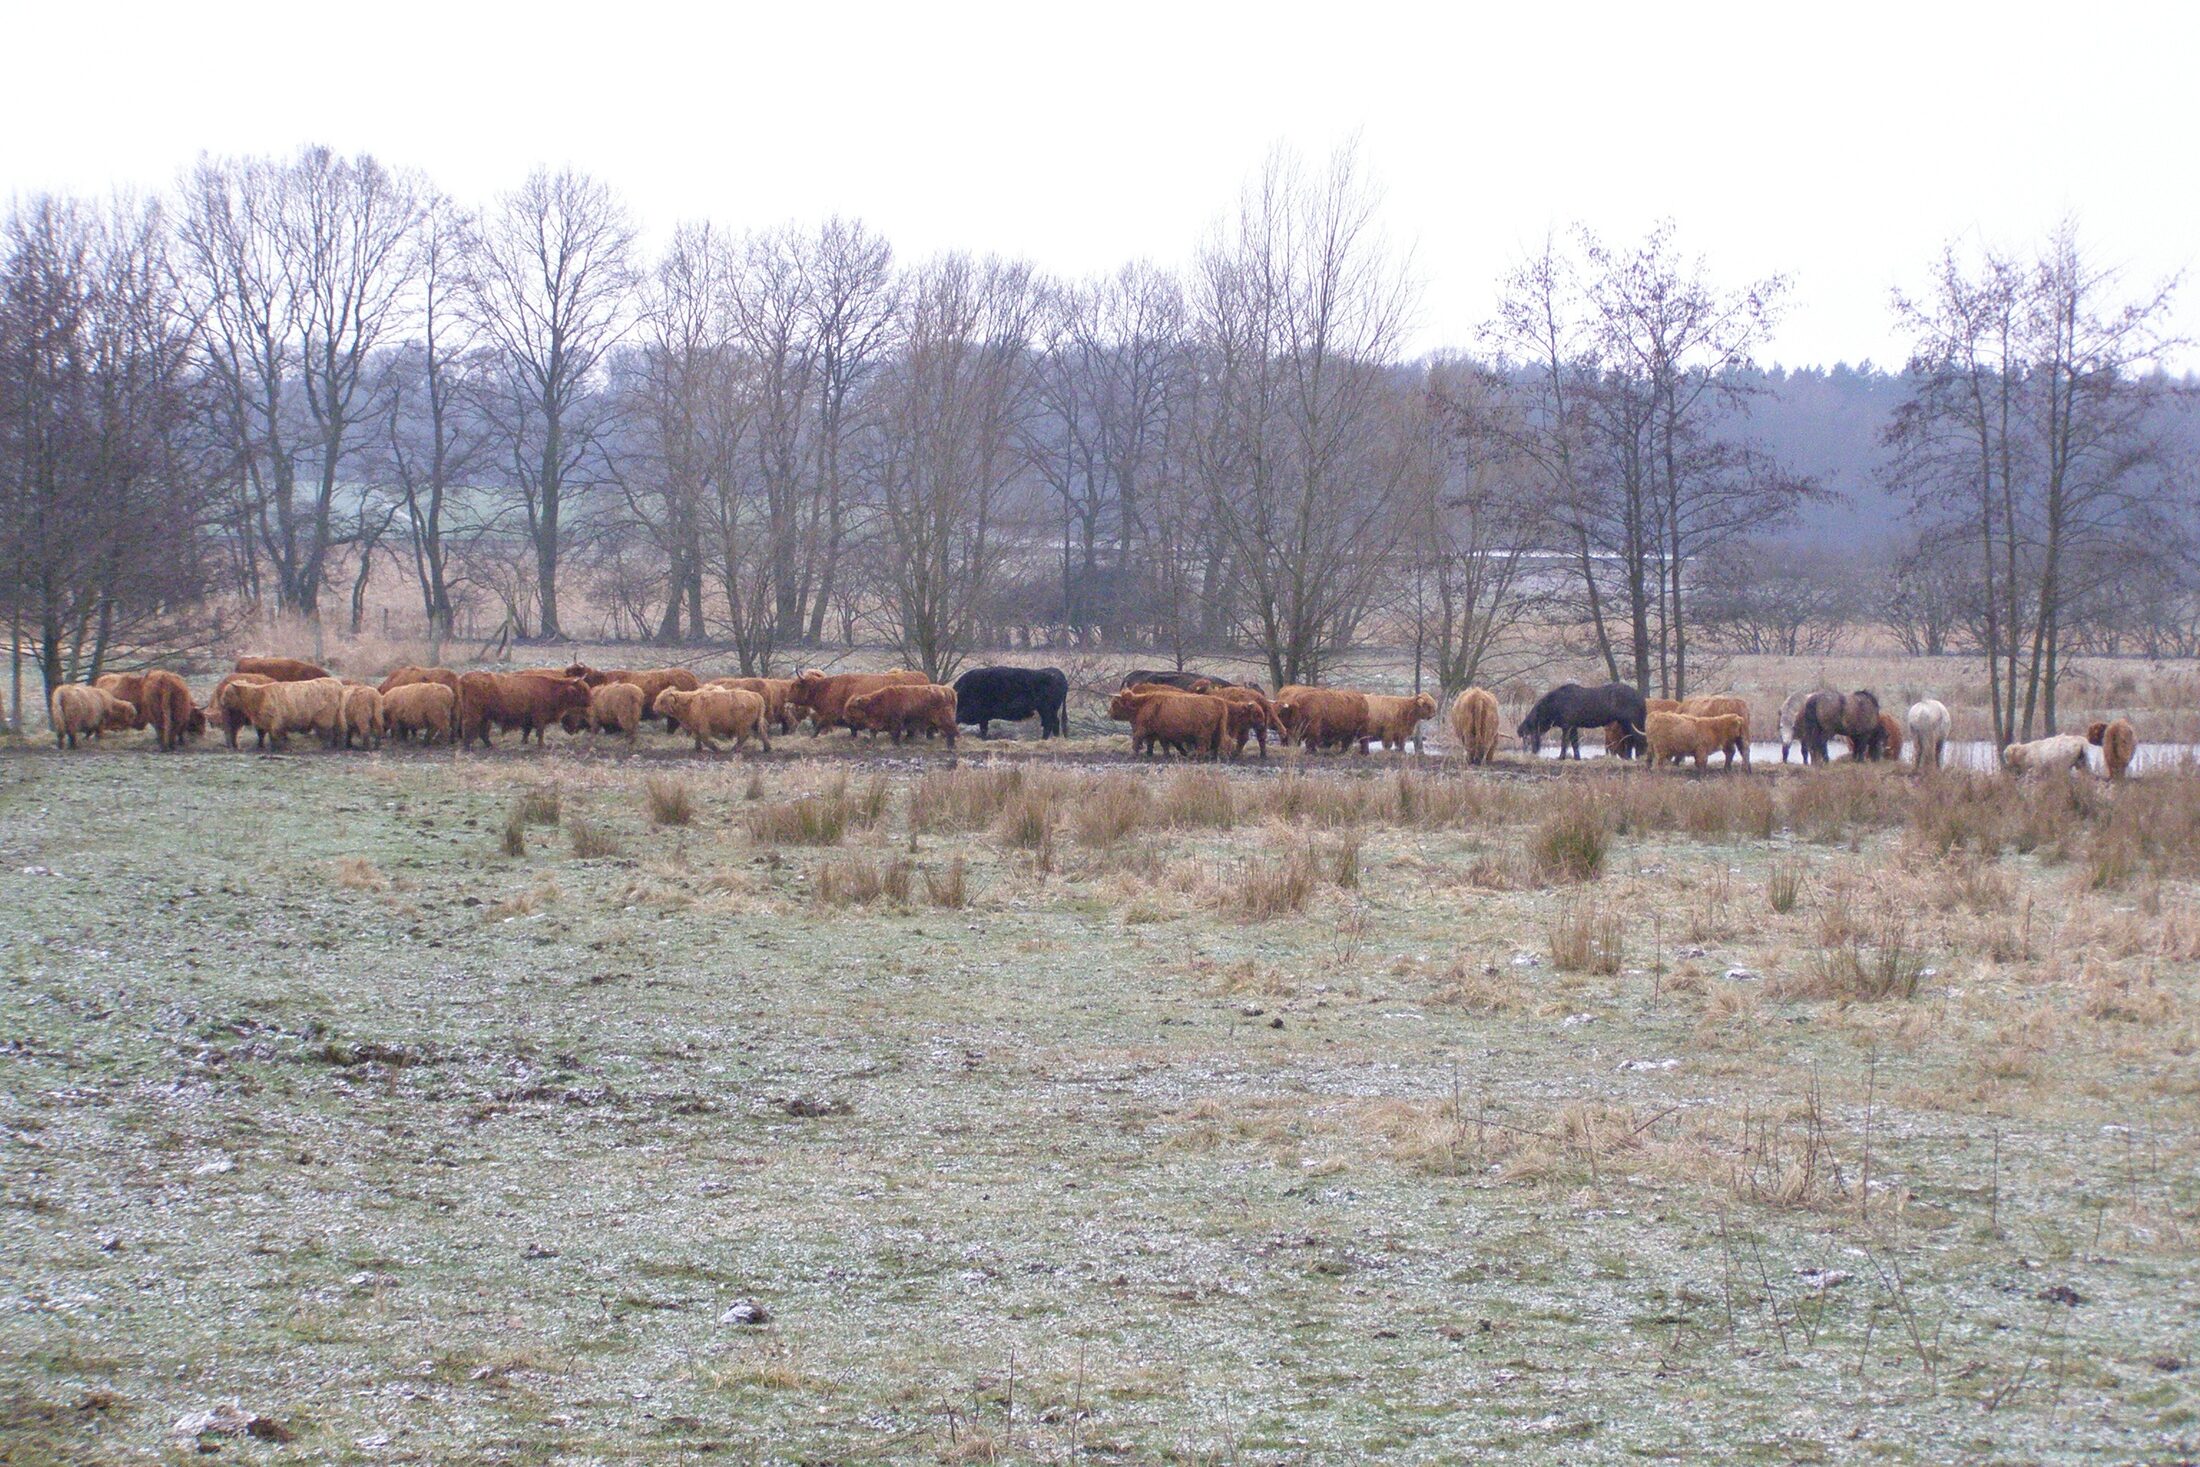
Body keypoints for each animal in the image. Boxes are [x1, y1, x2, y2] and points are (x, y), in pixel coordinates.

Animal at [453, 673, 589, 752]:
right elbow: (540, 732)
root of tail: (465, 677)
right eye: (582, 690)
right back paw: (468, 747)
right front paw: (542, 745)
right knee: (469, 727)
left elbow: (527, 730)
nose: (590, 701)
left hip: (485, 717)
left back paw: (490, 746)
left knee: (482, 732)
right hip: (474, 714)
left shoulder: (529, 719)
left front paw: (524, 742)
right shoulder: (539, 717)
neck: (552, 689)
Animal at [1513, 681, 1654, 765]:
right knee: (1631, 739)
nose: (1519, 730)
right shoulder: (1574, 726)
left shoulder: (1567, 725)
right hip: (1624, 722)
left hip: (1630, 721)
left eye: (1532, 718)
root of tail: (1642, 699)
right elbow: (1575, 743)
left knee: (1636, 739)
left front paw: (1561, 757)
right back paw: (1628, 757)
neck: (1553, 709)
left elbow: (1564, 743)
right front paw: (1577, 758)